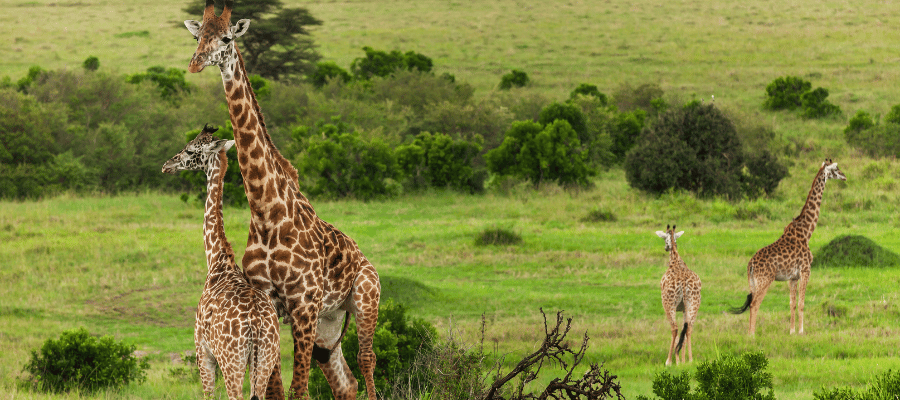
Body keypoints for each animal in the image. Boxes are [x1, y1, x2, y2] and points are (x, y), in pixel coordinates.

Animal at [158, 125, 278, 400]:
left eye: (190, 150)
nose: (167, 165)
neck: (216, 260)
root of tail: (256, 323)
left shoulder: (202, 353)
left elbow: (208, 394)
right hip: (266, 359)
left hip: (231, 360)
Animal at [183, 1, 380, 398]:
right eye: (198, 37)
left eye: (226, 38)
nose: (196, 63)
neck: (266, 211)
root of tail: (362, 258)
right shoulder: (270, 301)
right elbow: (274, 389)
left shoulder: (303, 305)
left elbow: (297, 389)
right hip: (329, 321)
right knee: (344, 380)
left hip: (365, 299)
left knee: (367, 361)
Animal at [652, 225, 704, 366]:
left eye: (664, 238)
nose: (666, 248)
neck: (675, 260)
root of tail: (684, 283)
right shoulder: (684, 308)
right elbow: (684, 333)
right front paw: (683, 361)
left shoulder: (674, 306)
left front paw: (677, 361)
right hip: (694, 303)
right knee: (689, 328)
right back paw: (691, 360)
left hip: (668, 304)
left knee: (674, 328)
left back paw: (668, 361)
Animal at [732, 159, 852, 334]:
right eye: (835, 168)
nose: (844, 176)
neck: (807, 231)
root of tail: (751, 265)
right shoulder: (805, 271)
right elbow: (801, 303)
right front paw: (802, 332)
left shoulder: (792, 277)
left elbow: (792, 304)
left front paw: (792, 331)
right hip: (764, 281)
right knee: (754, 305)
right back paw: (751, 335)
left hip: (752, 282)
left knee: (752, 304)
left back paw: (749, 333)